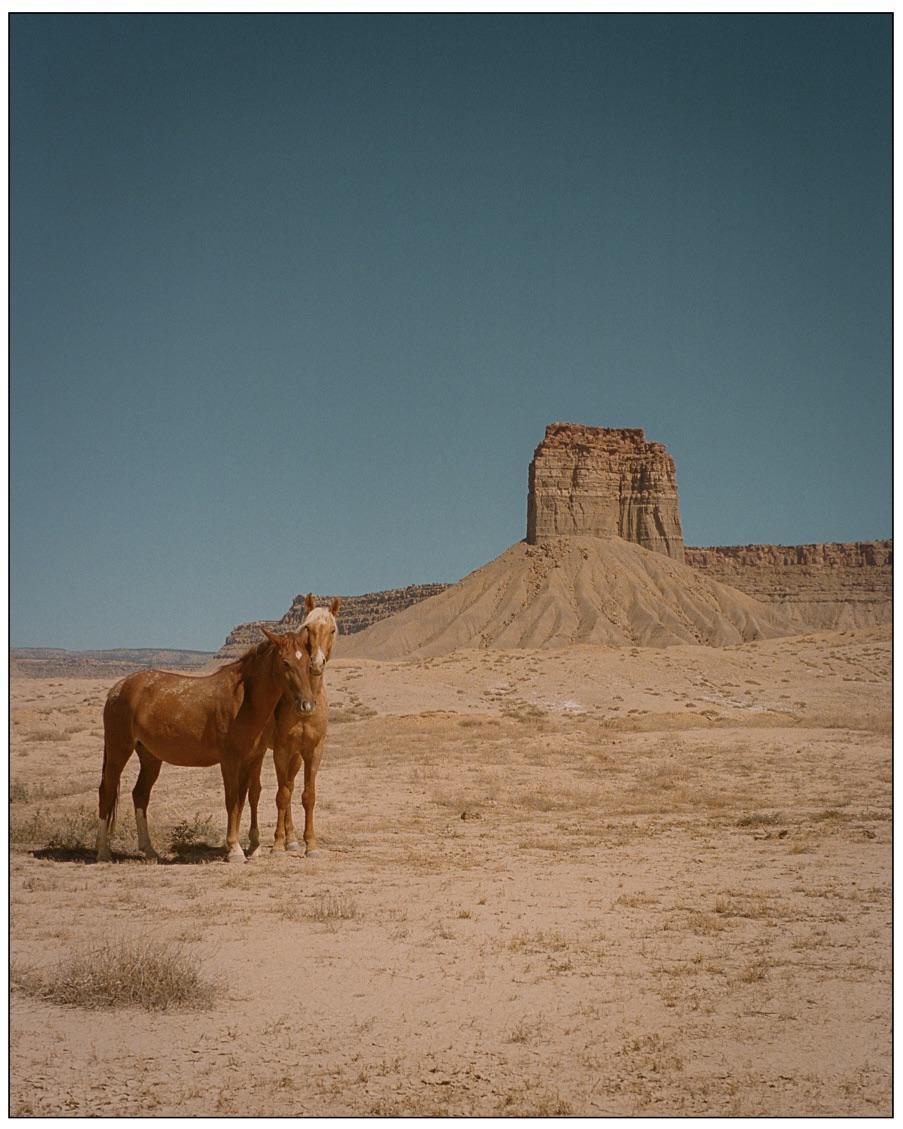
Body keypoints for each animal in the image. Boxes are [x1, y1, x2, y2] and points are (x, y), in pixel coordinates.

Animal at [95, 627, 317, 864]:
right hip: (119, 749)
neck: (243, 701)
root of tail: (117, 688)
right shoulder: (230, 760)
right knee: (106, 792)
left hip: (150, 757)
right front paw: (235, 850)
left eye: (307, 662)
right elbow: (232, 800)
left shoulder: (253, 758)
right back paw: (103, 852)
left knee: (140, 795)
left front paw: (245, 848)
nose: (307, 705)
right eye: (285, 663)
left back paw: (149, 850)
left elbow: (245, 799)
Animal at [248, 594, 341, 857]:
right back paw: (257, 842)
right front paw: (278, 845)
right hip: (260, 753)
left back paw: (292, 839)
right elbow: (281, 795)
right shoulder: (281, 750)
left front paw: (310, 844)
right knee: (256, 792)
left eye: (332, 629)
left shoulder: (312, 751)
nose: (316, 664)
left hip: (296, 757)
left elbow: (307, 795)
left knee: (288, 785)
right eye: (307, 628)